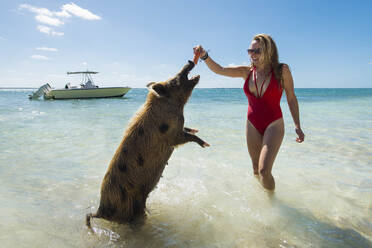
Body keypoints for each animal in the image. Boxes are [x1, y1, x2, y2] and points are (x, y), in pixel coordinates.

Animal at [87, 60, 209, 229]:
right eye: (173, 81)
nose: (189, 62)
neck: (175, 107)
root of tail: (100, 211)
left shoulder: (178, 128)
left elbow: (188, 130)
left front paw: (197, 130)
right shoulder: (172, 135)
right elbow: (186, 137)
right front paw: (206, 144)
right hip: (129, 206)